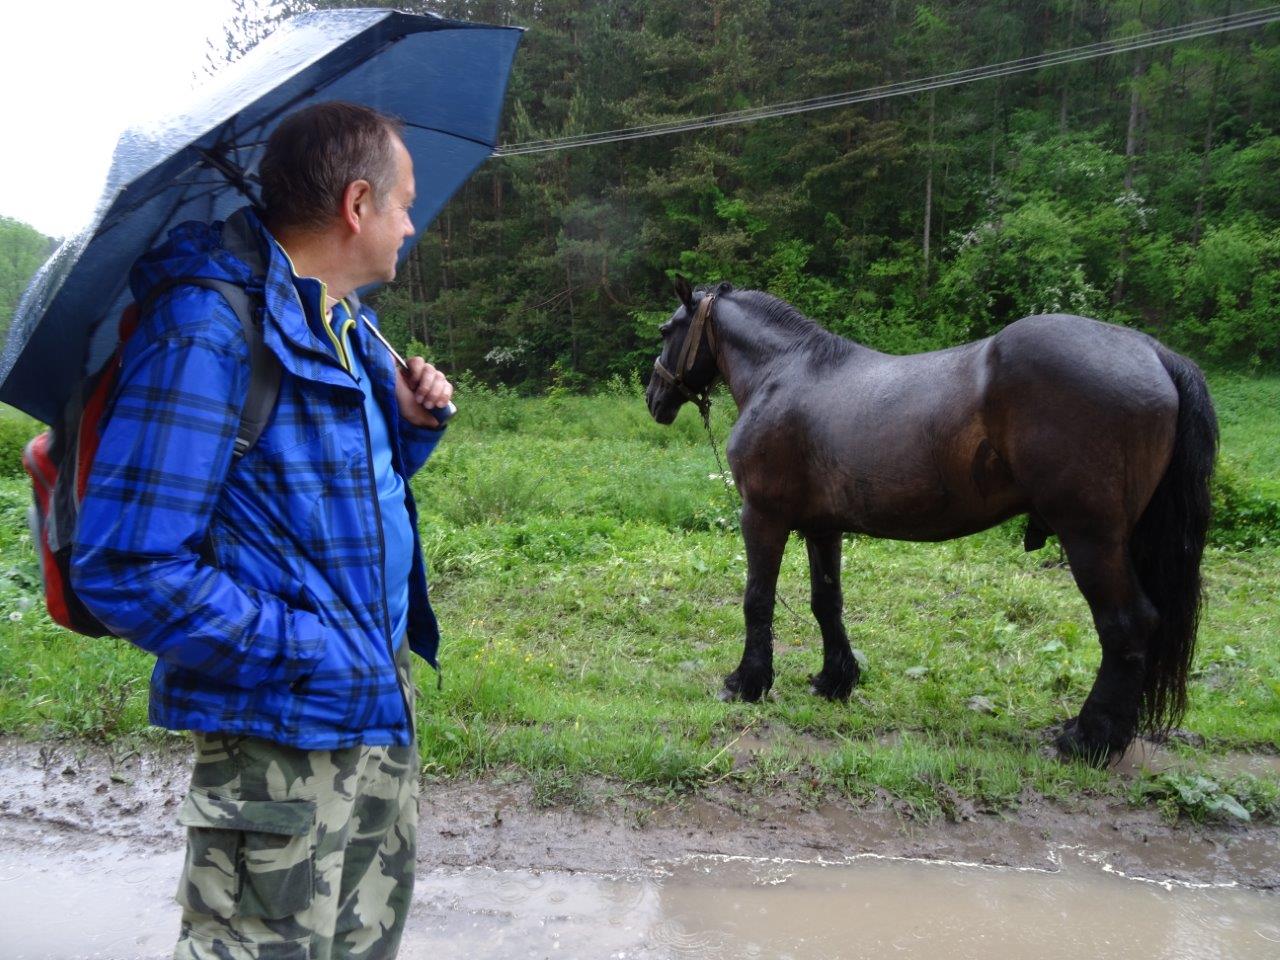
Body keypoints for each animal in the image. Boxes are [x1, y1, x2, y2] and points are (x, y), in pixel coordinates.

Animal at [645, 276, 1213, 768]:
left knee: (1126, 625)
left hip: (1091, 539)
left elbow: (757, 600)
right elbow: (827, 602)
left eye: (667, 330)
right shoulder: (822, 527)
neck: (786, 372)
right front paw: (835, 680)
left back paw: (1089, 738)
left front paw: (747, 682)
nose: (654, 398)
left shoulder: (764, 516)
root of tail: (1152, 352)